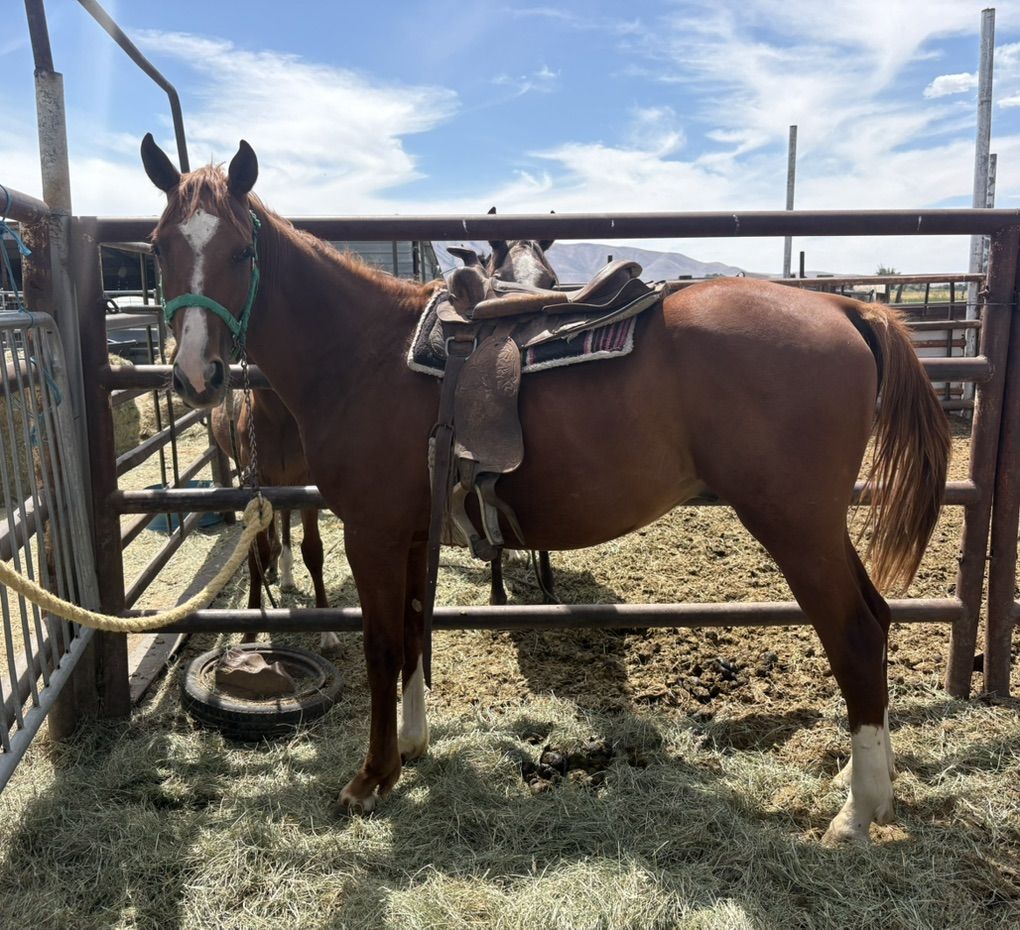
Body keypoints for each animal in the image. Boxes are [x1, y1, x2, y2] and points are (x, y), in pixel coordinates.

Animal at [209, 388, 339, 652]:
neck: (279, 417)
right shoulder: (257, 482)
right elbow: (257, 552)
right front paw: (249, 631)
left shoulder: (306, 480)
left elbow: (312, 551)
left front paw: (327, 632)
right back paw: (274, 566)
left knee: (284, 517)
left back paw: (284, 571)